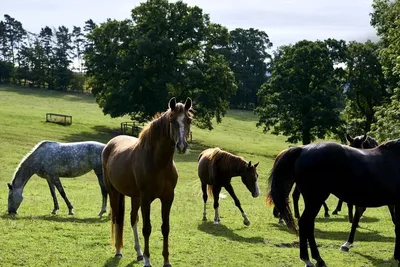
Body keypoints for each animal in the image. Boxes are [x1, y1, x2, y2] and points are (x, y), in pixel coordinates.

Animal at [101, 97, 192, 266]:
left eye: (189, 120)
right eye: (172, 120)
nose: (182, 146)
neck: (158, 163)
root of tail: (110, 144)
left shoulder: (168, 198)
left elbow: (165, 228)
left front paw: (166, 260)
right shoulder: (146, 199)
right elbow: (147, 228)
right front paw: (148, 260)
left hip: (134, 197)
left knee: (132, 219)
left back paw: (138, 253)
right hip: (114, 192)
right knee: (117, 218)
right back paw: (118, 251)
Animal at [268, 140, 400, 267]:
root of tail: (303, 149)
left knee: (308, 224)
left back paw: (314, 260)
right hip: (315, 199)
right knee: (305, 223)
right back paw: (312, 259)